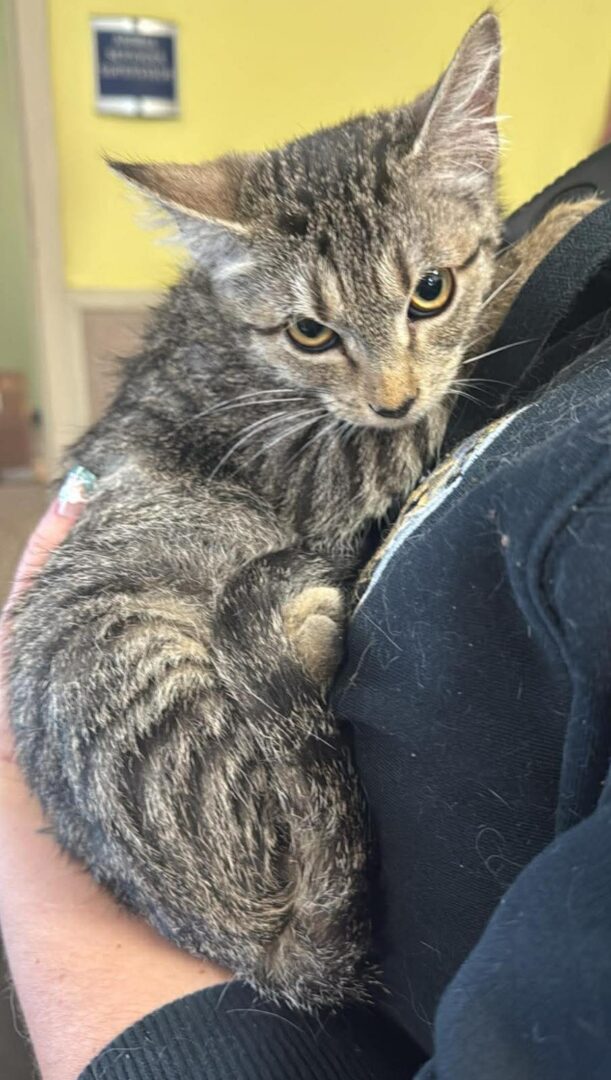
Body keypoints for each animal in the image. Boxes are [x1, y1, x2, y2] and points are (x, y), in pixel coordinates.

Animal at [7, 11, 600, 1009]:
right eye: (311, 331)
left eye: (427, 289)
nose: (390, 396)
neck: (232, 338)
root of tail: (251, 950)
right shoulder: (316, 465)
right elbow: (460, 362)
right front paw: (561, 223)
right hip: (139, 635)